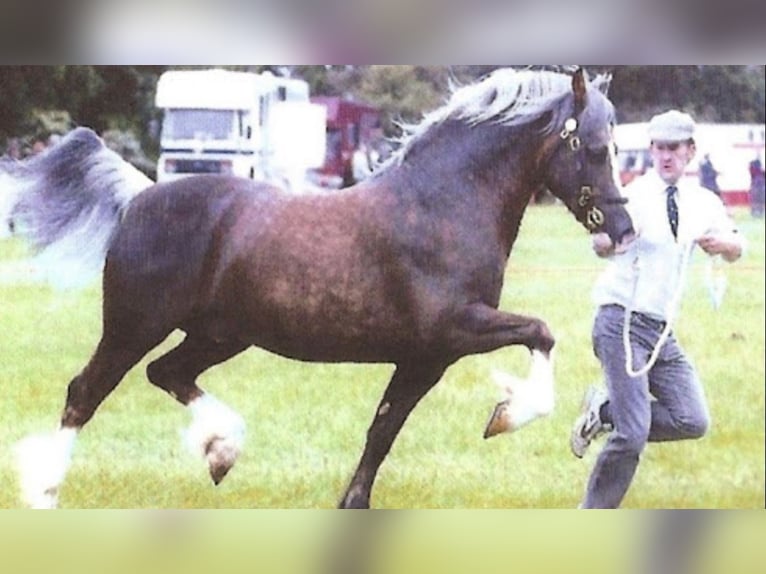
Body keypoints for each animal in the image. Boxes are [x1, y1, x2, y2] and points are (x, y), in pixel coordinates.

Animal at [4, 66, 636, 508]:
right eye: (595, 148)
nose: (623, 232)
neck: (441, 206)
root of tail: (139, 196)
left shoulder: (425, 358)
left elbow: (382, 431)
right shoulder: (456, 329)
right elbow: (542, 333)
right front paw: (508, 414)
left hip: (220, 336)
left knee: (167, 373)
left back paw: (221, 451)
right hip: (134, 326)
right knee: (85, 392)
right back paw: (45, 491)